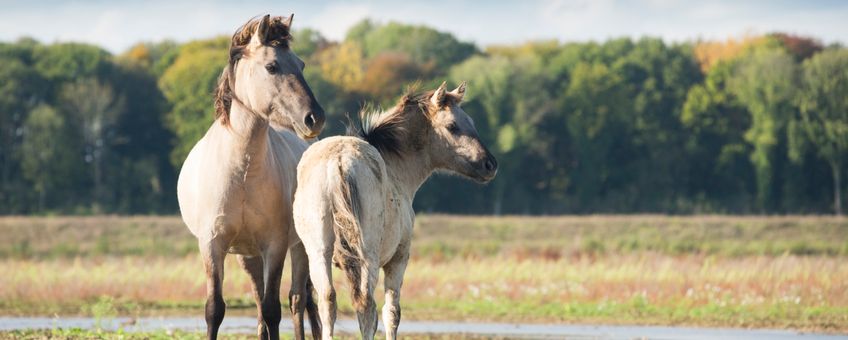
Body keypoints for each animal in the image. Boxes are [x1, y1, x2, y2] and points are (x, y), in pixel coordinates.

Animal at [176, 13, 324, 340]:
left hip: (299, 247)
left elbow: (273, 310)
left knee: (298, 300)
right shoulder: (213, 245)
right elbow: (215, 309)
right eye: (272, 66)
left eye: (301, 64)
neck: (241, 172)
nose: (314, 118)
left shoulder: (275, 245)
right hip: (248, 254)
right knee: (259, 299)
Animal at [294, 81, 500, 338]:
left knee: (328, 300)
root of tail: (338, 162)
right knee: (367, 305)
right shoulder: (399, 259)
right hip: (367, 257)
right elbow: (392, 313)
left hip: (318, 252)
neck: (394, 166)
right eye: (453, 126)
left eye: (470, 122)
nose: (490, 164)